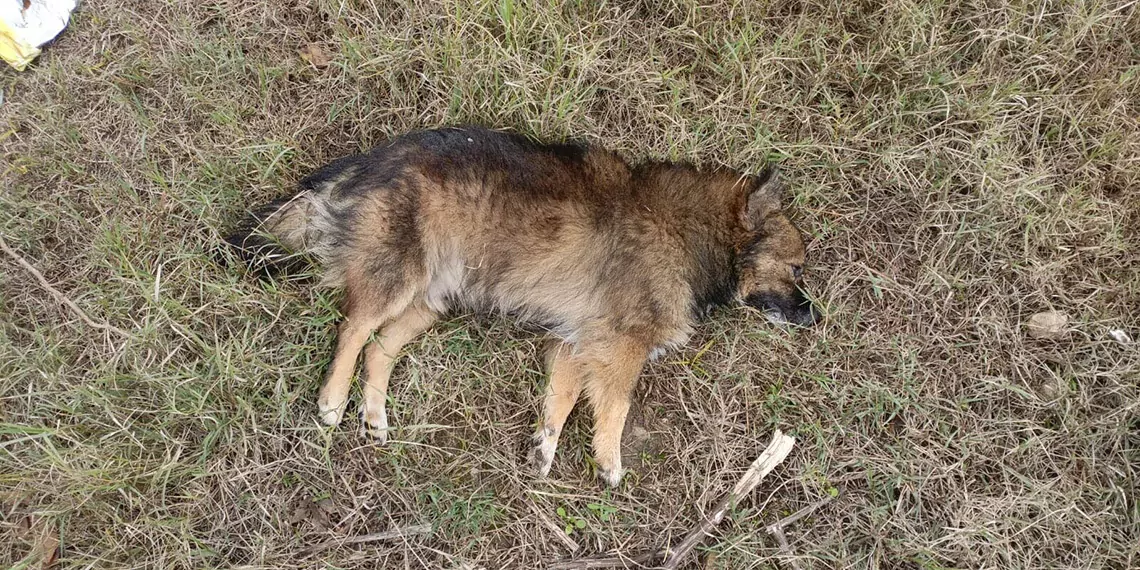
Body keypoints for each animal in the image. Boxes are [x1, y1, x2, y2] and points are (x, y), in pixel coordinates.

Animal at [222, 127, 816, 487]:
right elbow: (616, 409)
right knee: (352, 329)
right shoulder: (620, 346)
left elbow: (562, 400)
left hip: (431, 301)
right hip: (397, 279)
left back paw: (374, 416)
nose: (813, 316)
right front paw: (609, 462)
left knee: (379, 349)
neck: (696, 234)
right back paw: (332, 401)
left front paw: (544, 450)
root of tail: (375, 157)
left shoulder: (576, 340)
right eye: (797, 268)